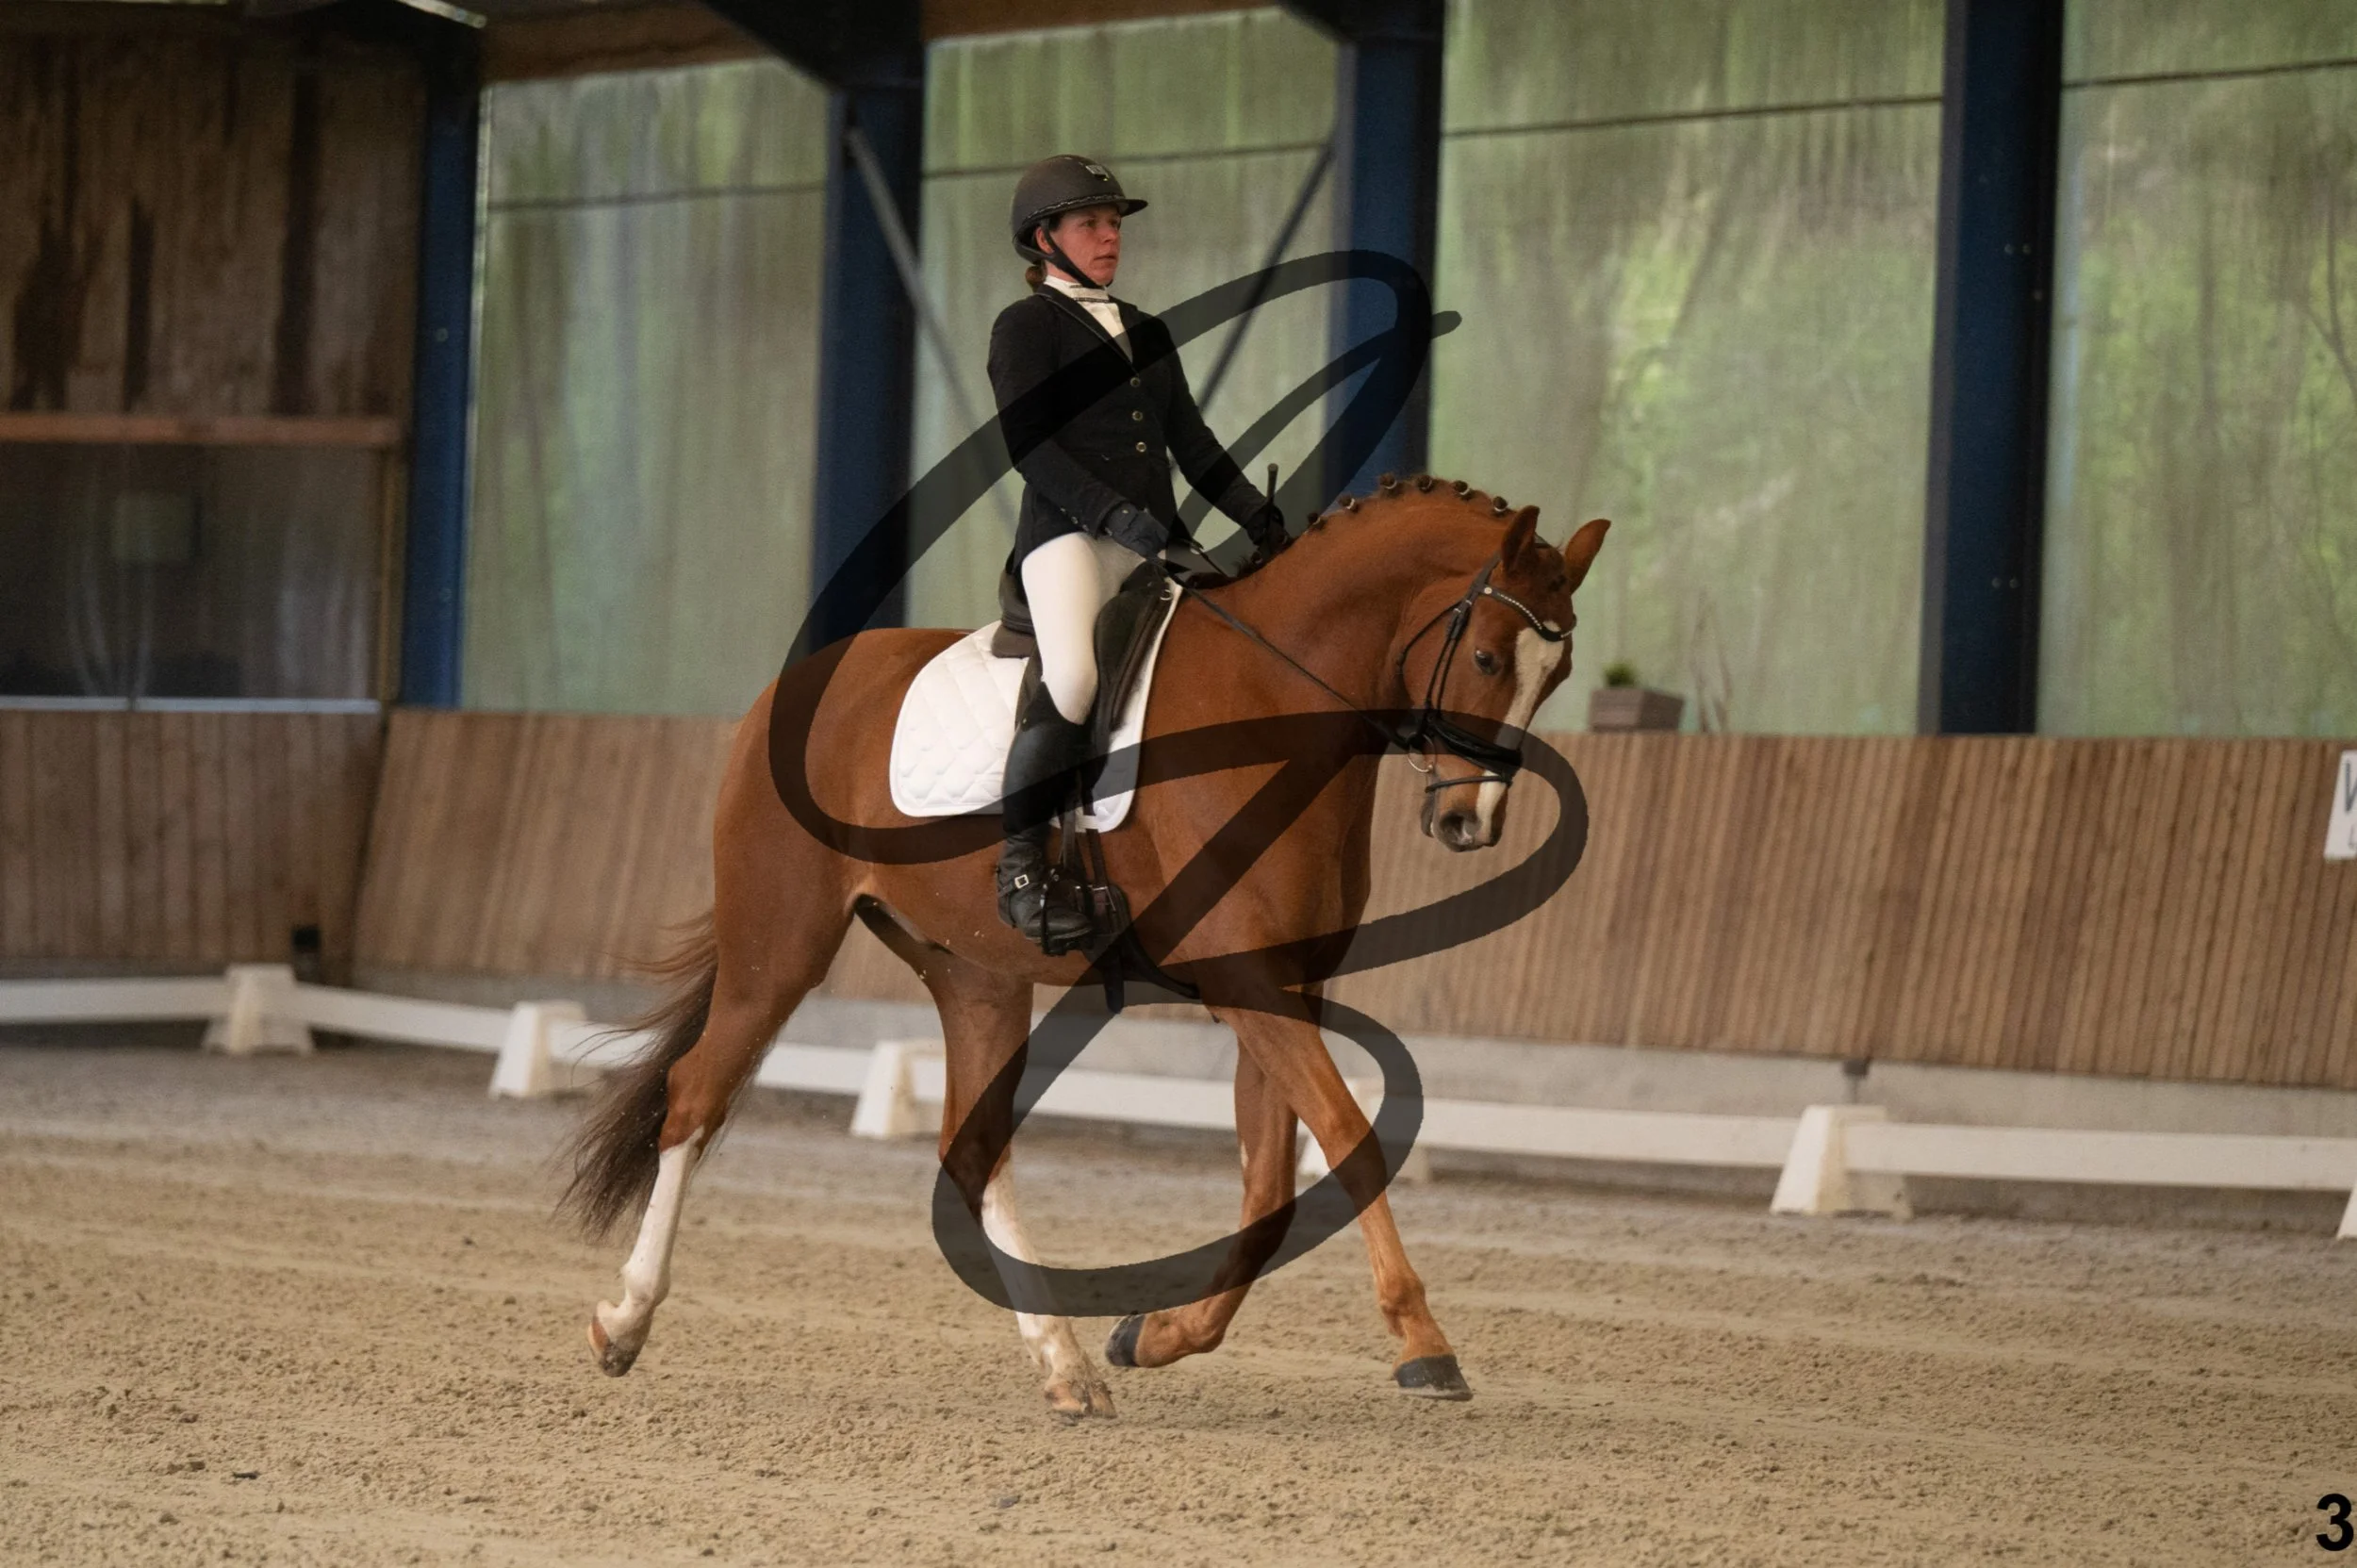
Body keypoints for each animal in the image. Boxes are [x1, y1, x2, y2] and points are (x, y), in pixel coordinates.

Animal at [559, 475, 1609, 1419]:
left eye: (1553, 677)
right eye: (1486, 657)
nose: (1470, 821)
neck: (1274, 700)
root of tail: (795, 682)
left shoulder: (1283, 985)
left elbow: (1269, 1182)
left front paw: (1159, 1334)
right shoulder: (1247, 980)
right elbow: (1348, 1140)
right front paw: (1424, 1343)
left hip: (972, 971)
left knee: (971, 1148)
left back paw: (1066, 1367)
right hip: (779, 942)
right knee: (697, 1094)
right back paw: (624, 1321)